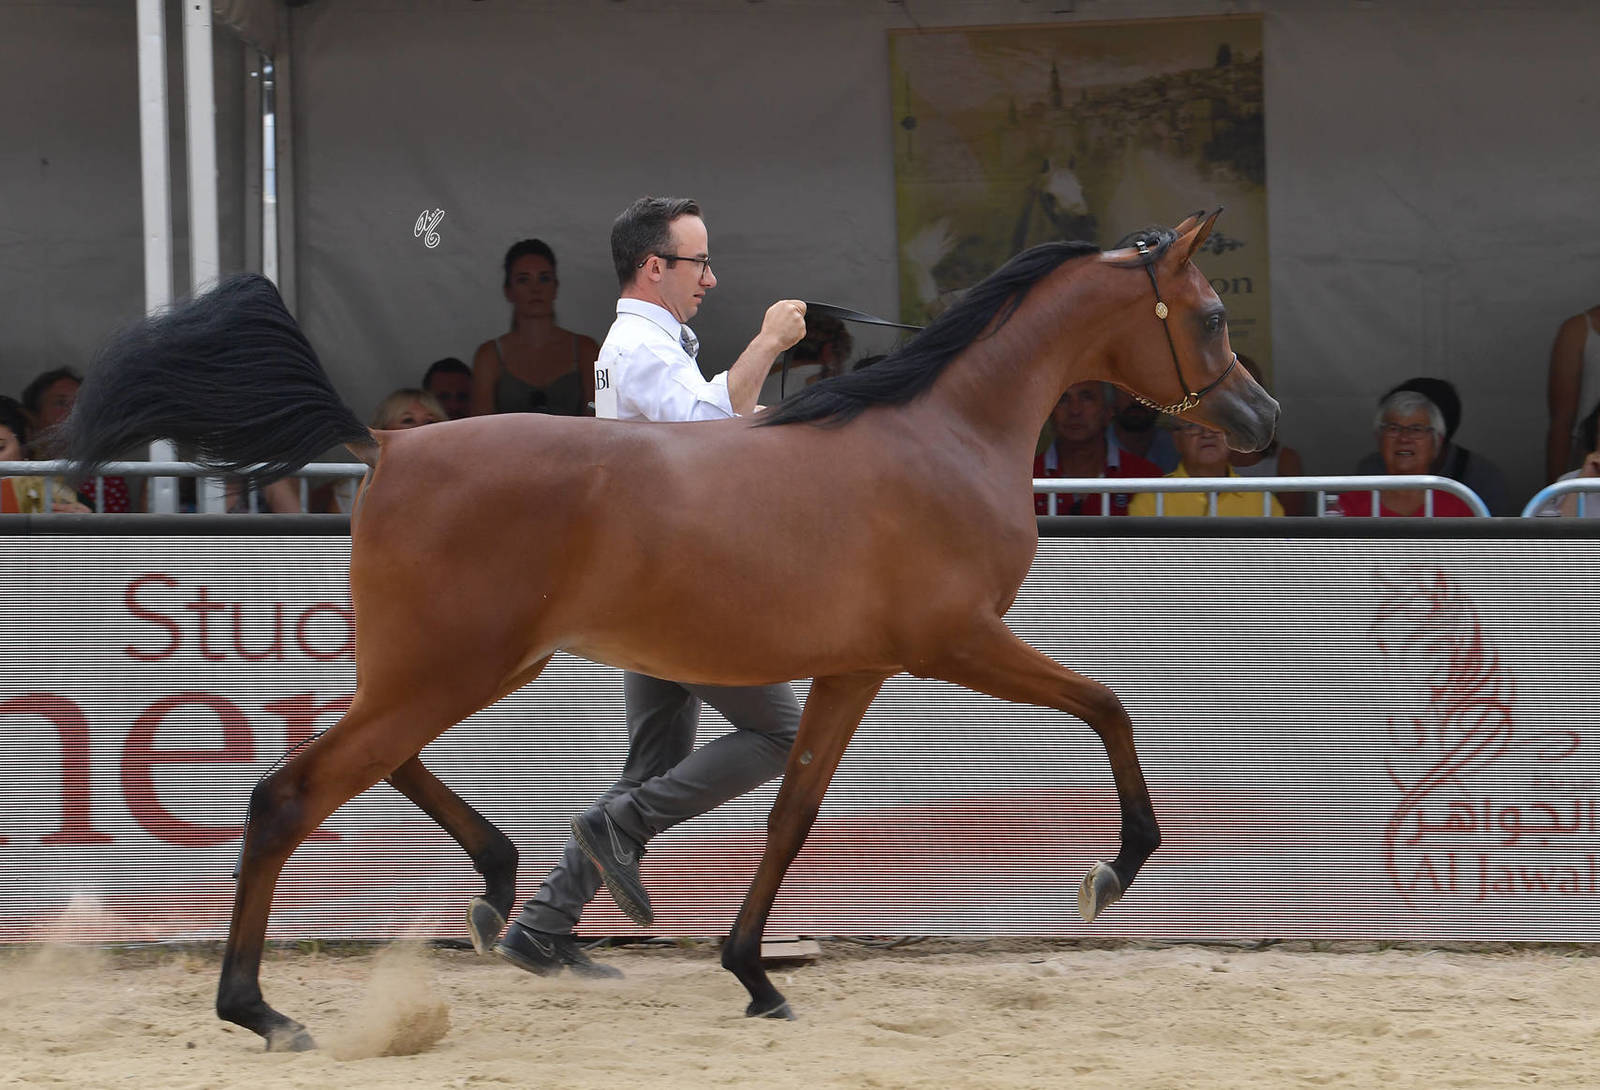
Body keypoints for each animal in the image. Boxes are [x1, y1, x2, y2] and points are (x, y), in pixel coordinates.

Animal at [67, 211, 1278, 1051]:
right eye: (1212, 314)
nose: (1261, 424)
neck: (942, 433)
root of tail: (389, 443)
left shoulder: (852, 671)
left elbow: (790, 815)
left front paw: (753, 973)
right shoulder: (955, 645)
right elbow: (1110, 707)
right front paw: (1115, 867)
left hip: (457, 670)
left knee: (381, 764)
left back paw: (506, 890)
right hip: (450, 670)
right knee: (290, 794)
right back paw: (259, 1010)